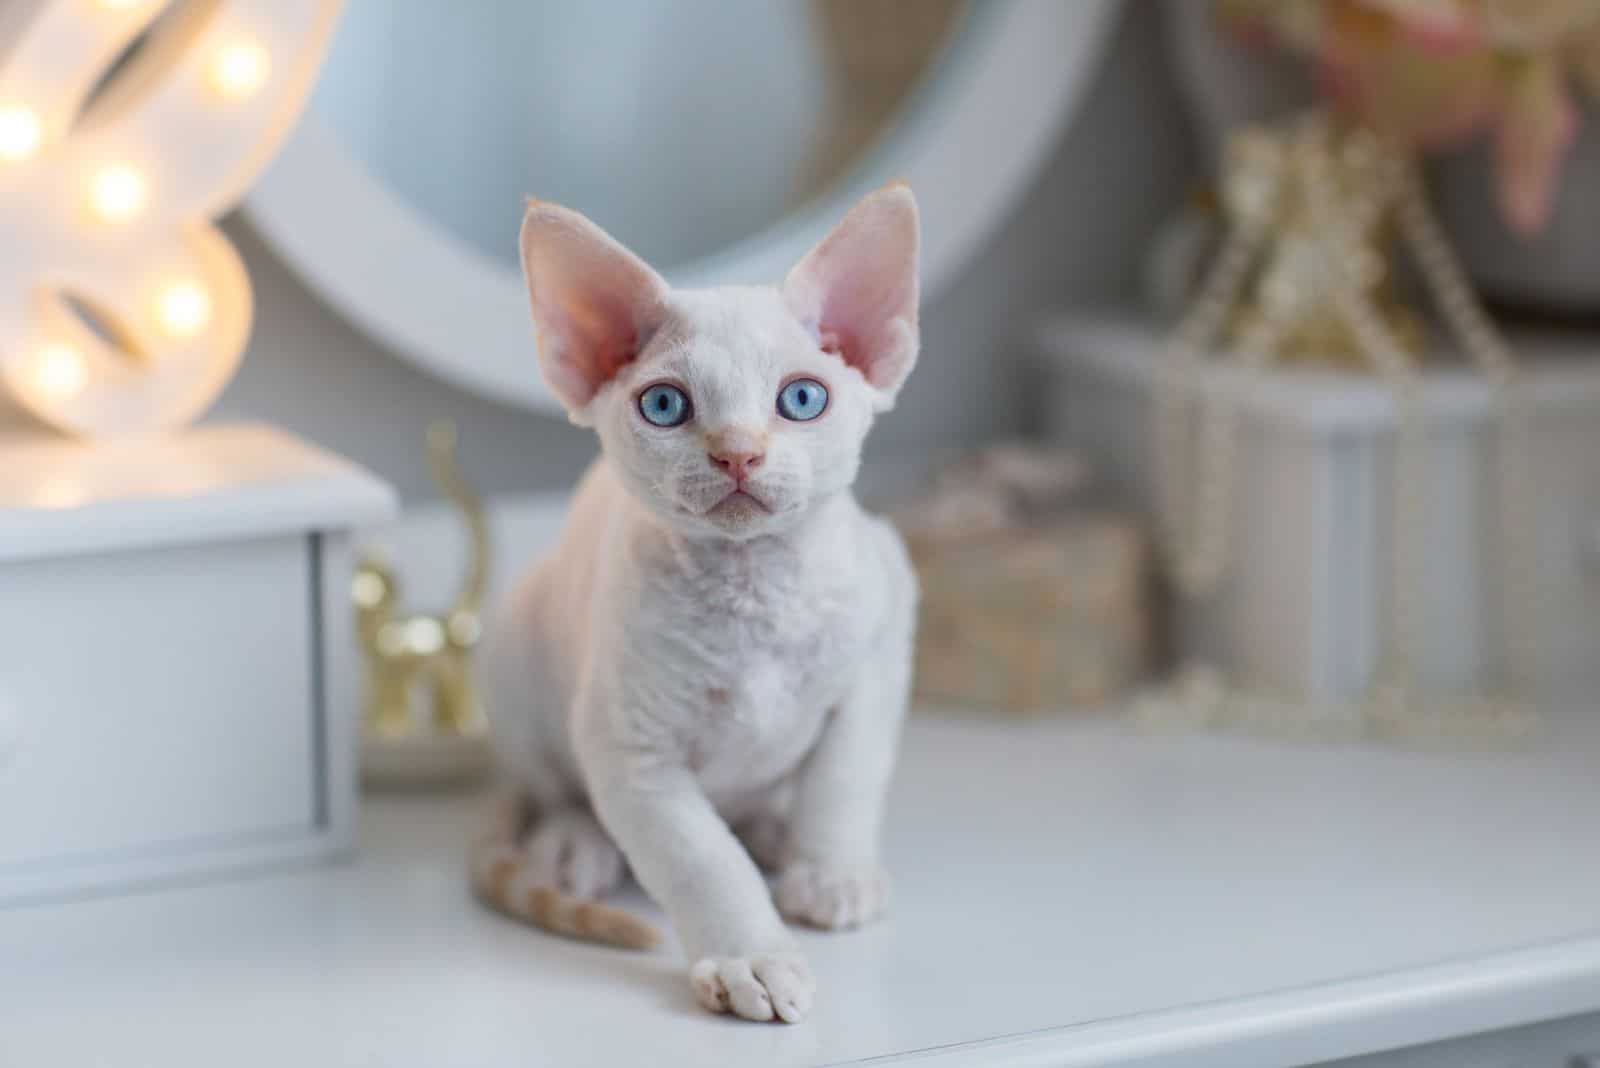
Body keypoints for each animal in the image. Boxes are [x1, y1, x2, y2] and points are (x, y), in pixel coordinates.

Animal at [473, 185, 921, 1023]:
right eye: (664, 406)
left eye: (801, 398)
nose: (738, 452)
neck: (754, 594)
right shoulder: (632, 752)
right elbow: (701, 857)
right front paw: (754, 955)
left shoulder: (876, 667)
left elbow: (844, 781)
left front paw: (831, 875)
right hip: (513, 654)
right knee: (552, 787)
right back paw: (575, 844)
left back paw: (775, 831)